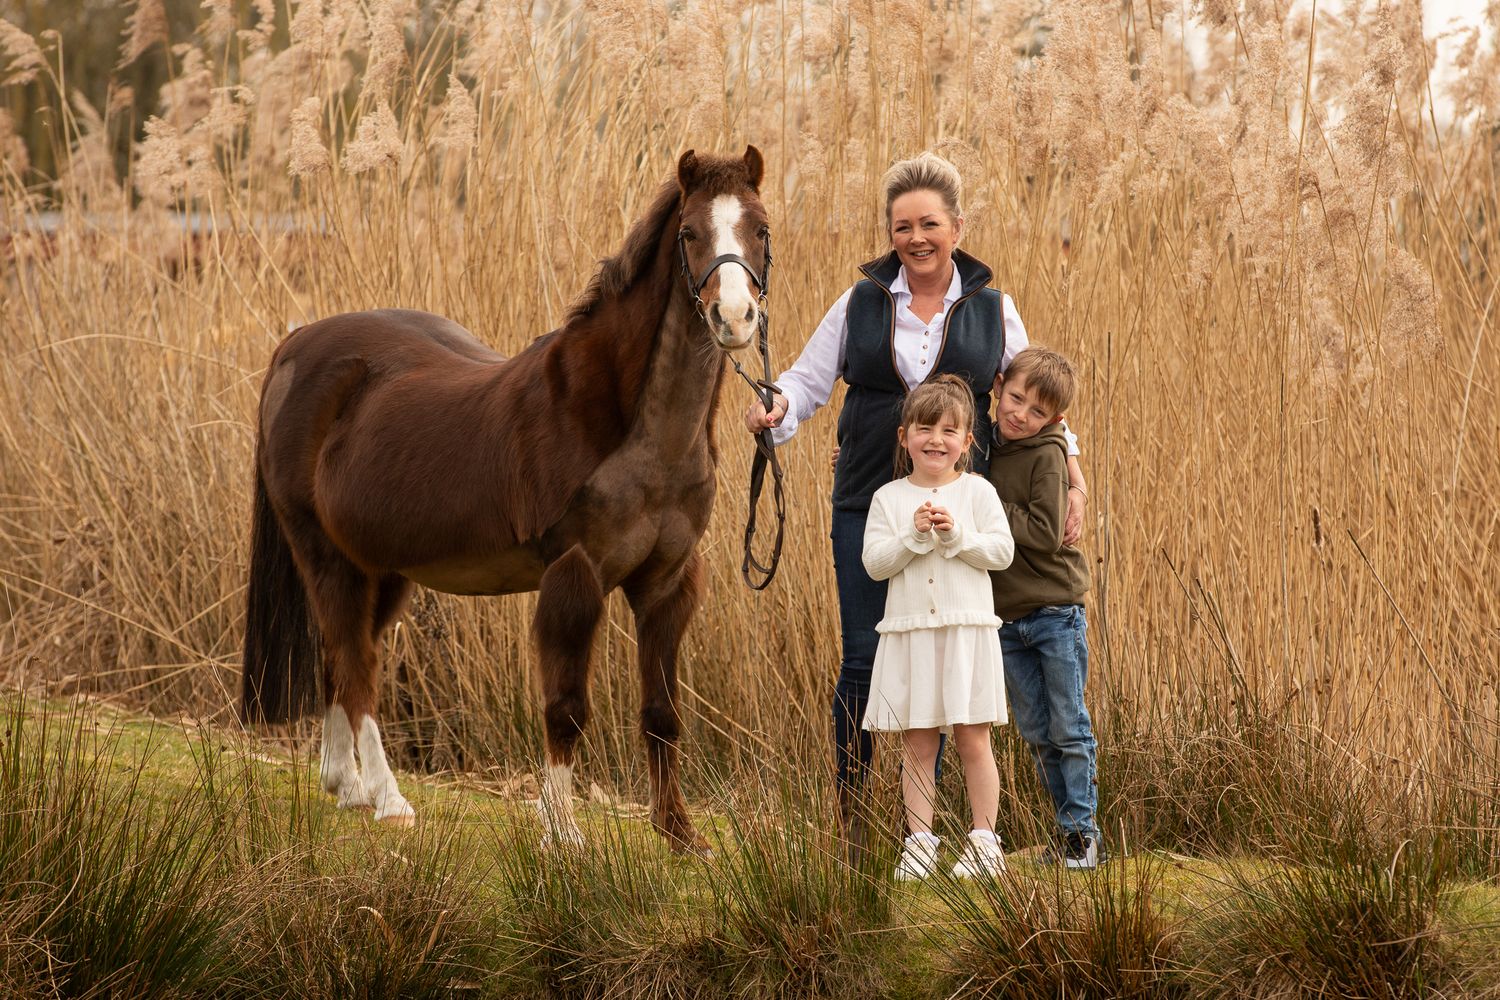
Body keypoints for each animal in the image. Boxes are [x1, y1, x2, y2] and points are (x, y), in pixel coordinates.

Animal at [240, 147, 770, 852]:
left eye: (761, 229)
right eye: (689, 233)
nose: (734, 319)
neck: (634, 431)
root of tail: (292, 347)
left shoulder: (668, 582)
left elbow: (662, 710)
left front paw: (680, 834)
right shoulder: (574, 576)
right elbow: (566, 708)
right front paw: (561, 833)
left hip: (379, 567)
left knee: (339, 654)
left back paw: (345, 787)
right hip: (323, 555)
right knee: (357, 665)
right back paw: (387, 799)